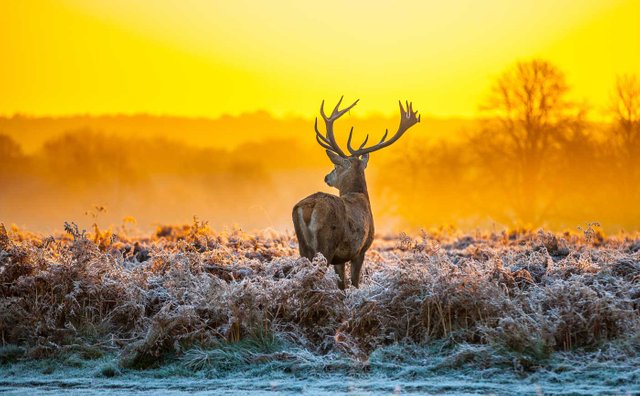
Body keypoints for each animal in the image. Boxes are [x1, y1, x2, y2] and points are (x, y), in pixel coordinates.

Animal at [290, 97, 420, 290]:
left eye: (335, 166)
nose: (326, 177)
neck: (359, 195)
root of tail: (309, 207)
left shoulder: (340, 258)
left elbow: (342, 284)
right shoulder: (360, 249)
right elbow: (355, 282)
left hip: (303, 246)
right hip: (326, 244)